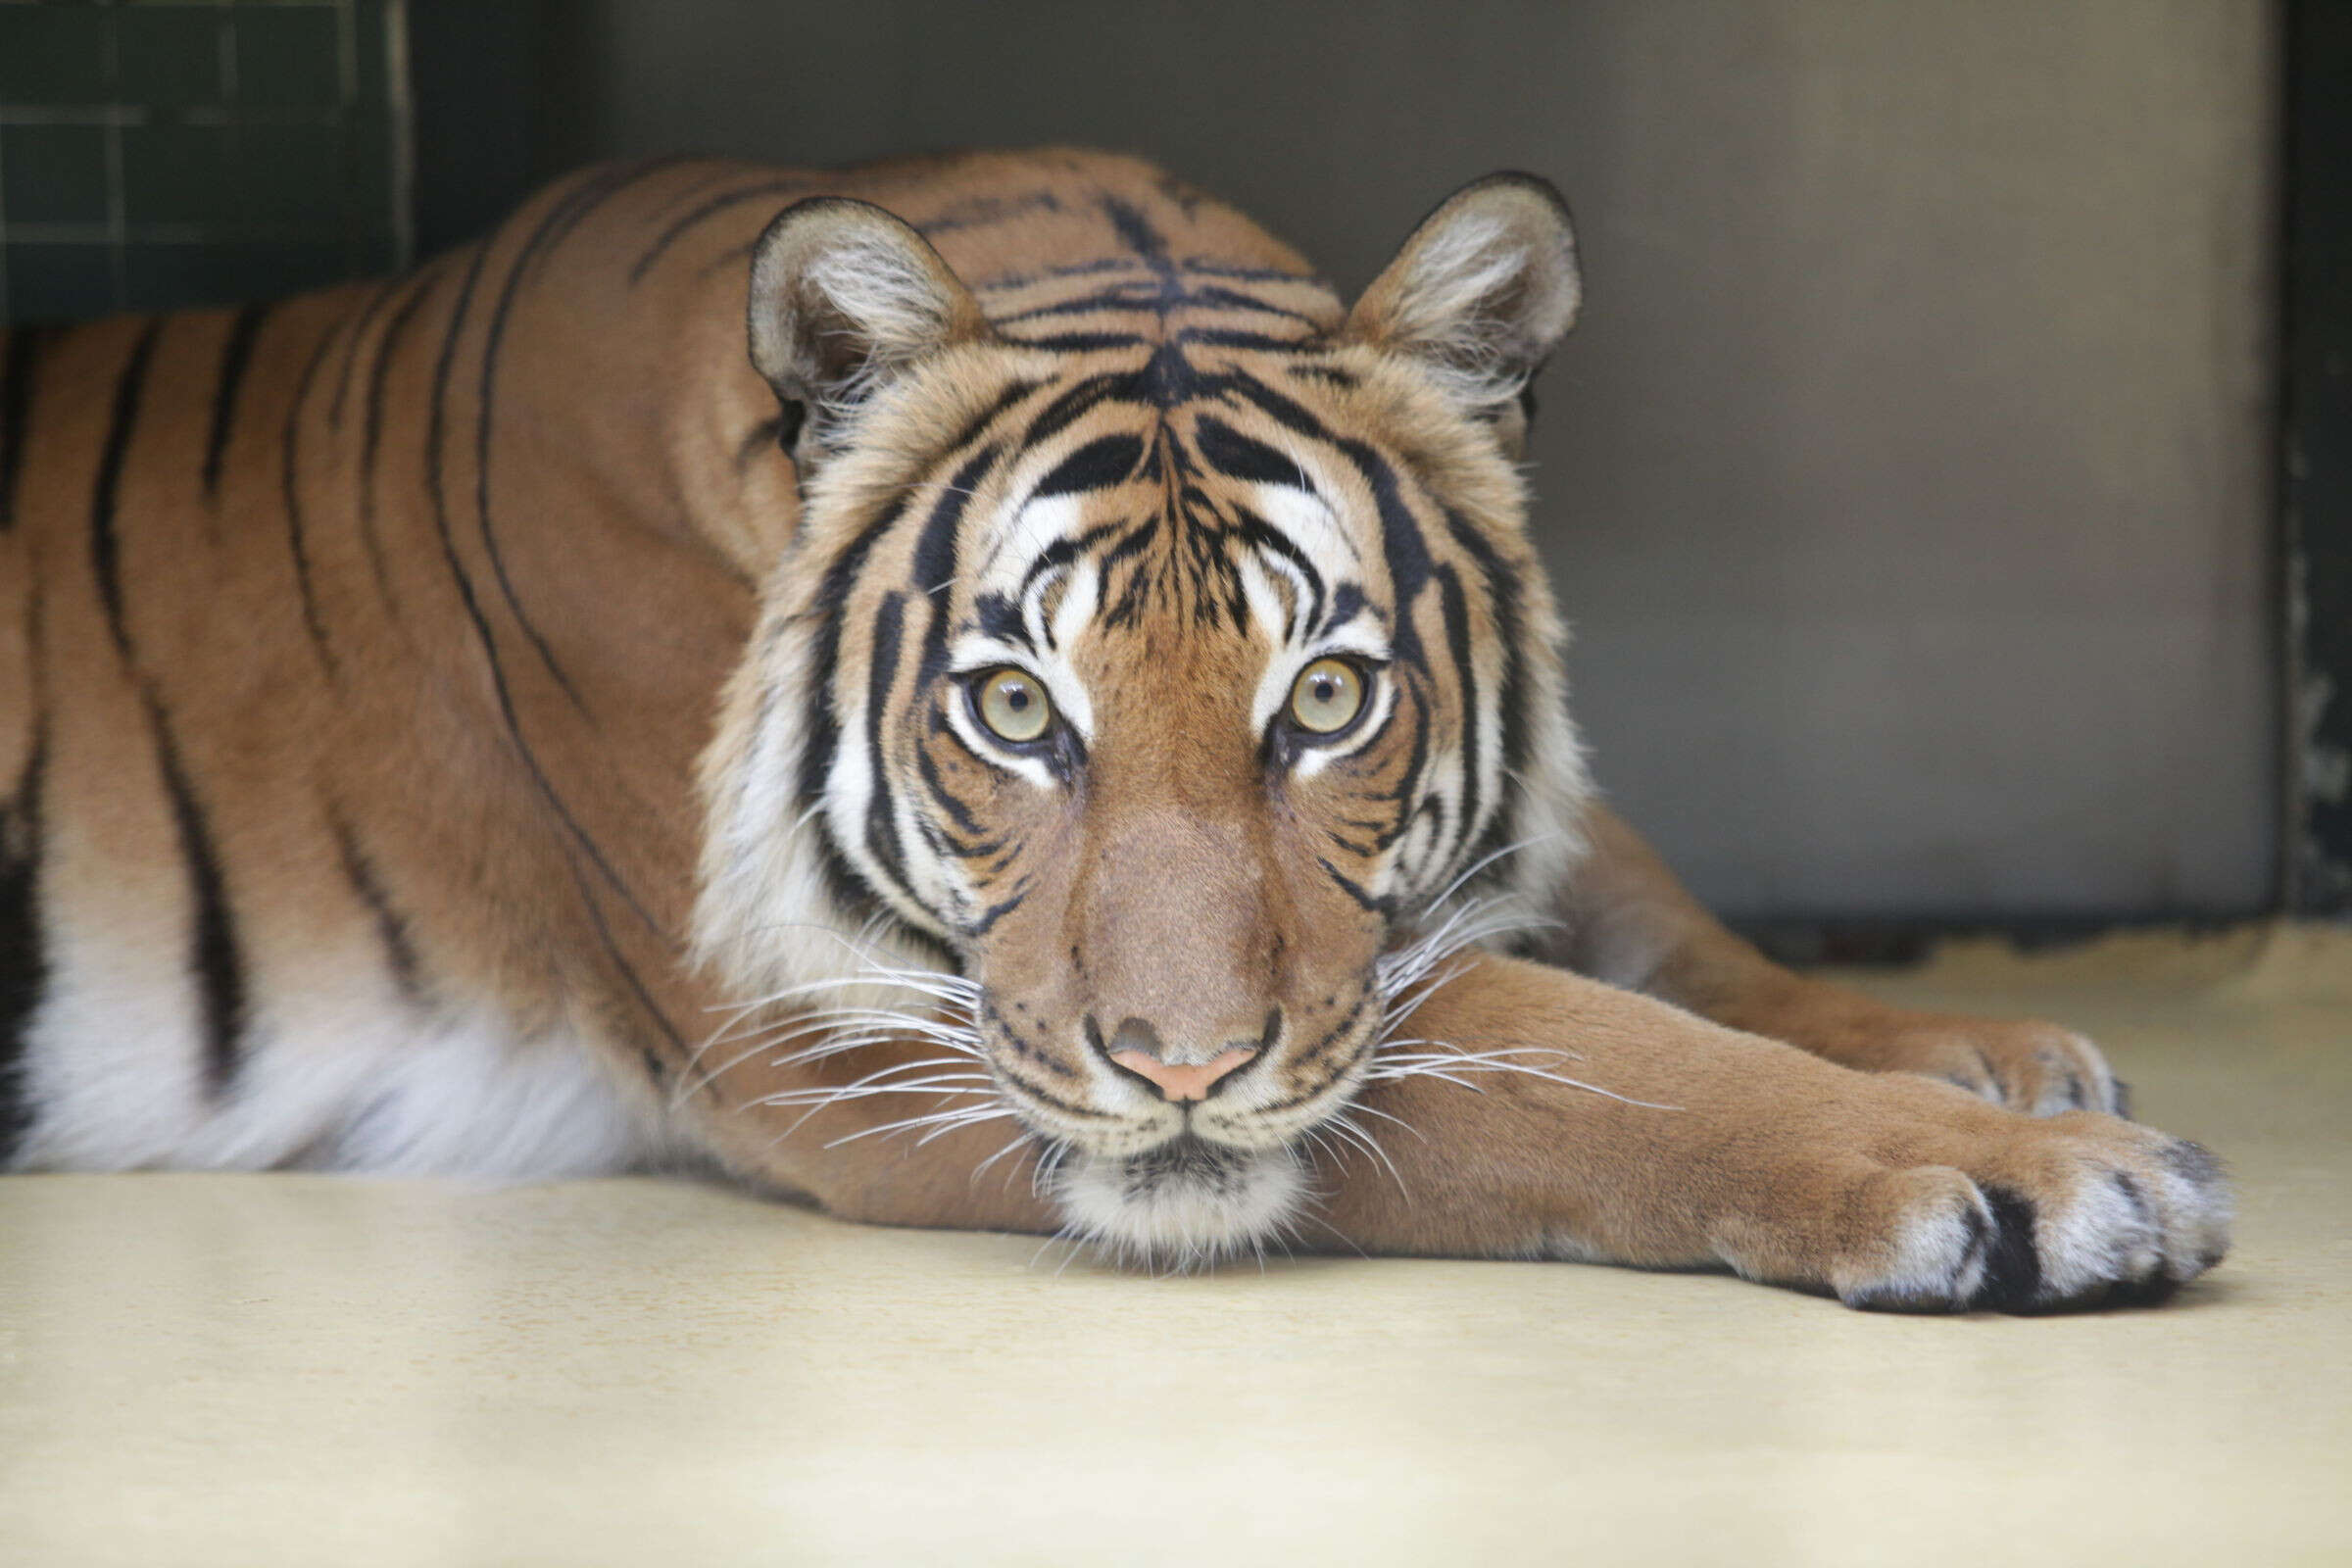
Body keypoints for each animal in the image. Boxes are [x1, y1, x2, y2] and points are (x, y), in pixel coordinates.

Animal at [0, 146, 2220, 1306]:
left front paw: (1982, 1047)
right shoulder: (856, 1029)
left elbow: (1654, 937)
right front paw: (2020, 1170)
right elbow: (1579, 1056)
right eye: (1011, 706)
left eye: (1327, 697)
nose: (1179, 1071)